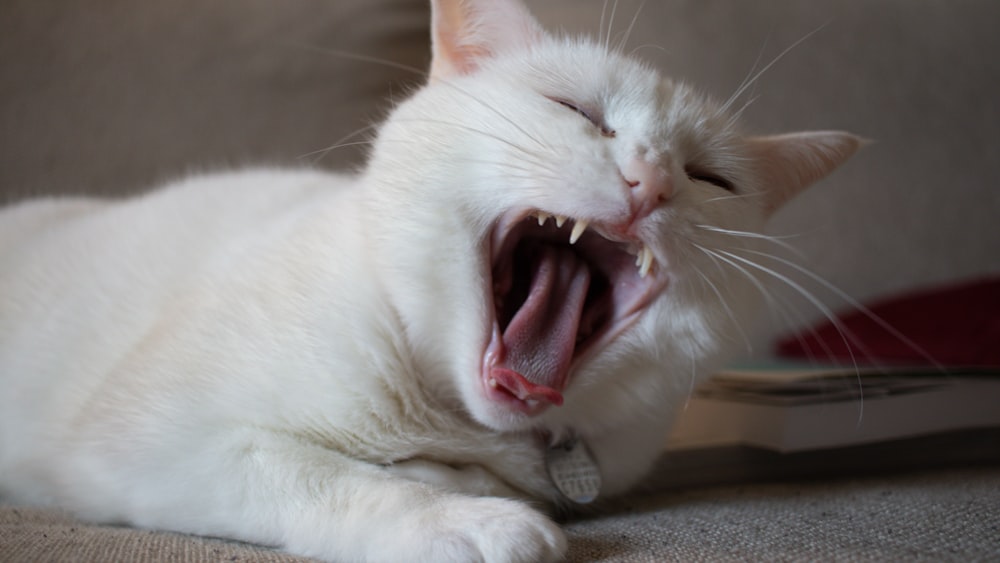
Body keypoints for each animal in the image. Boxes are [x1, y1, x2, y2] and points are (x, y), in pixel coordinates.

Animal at [0, 1, 860, 563]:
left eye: (711, 179)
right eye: (576, 110)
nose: (651, 181)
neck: (452, 415)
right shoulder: (150, 437)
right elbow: (326, 476)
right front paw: (473, 517)